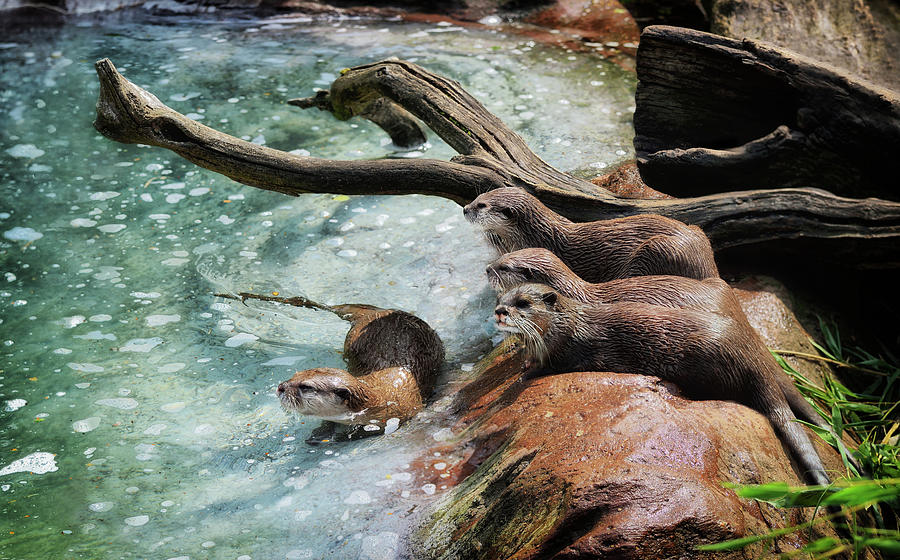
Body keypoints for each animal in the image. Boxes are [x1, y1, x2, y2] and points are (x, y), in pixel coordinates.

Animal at [496, 284, 832, 486]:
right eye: (501, 301)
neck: (567, 329)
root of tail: (750, 357)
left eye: (523, 303)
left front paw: (528, 373)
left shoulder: (578, 351)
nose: (500, 311)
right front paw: (525, 365)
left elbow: (556, 367)